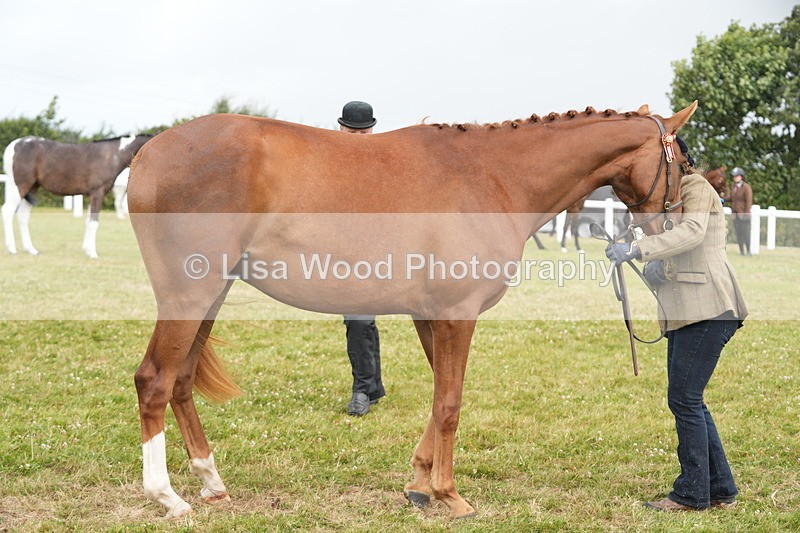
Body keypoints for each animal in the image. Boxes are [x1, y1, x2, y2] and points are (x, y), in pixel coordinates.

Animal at [2, 134, 151, 257]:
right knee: (7, 211)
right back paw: (11, 249)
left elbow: (88, 221)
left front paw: (87, 249)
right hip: (20, 187)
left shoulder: (92, 194)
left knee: (23, 216)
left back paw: (31, 250)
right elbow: (94, 222)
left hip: (32, 188)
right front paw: (93, 253)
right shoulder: (98, 193)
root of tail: (14, 145)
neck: (113, 155)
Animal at [127, 101, 697, 519]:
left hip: (211, 296)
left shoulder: (430, 316)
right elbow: (450, 404)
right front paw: (449, 495)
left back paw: (211, 482)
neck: (492, 177)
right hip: (188, 295)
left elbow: (439, 396)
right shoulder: (457, 314)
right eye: (685, 165)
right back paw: (167, 497)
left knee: (180, 382)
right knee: (154, 380)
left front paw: (420, 482)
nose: (670, 227)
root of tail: (149, 153)